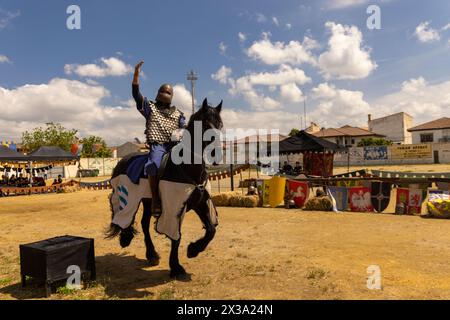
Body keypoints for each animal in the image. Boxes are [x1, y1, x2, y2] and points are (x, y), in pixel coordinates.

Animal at [106, 98, 225, 280]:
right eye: (204, 124)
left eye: (220, 124)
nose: (216, 154)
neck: (187, 167)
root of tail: (122, 160)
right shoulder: (173, 209)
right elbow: (176, 237)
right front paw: (176, 267)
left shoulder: (200, 203)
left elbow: (211, 230)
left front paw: (193, 250)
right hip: (129, 197)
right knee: (123, 214)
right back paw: (126, 238)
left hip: (148, 201)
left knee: (144, 223)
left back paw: (151, 254)